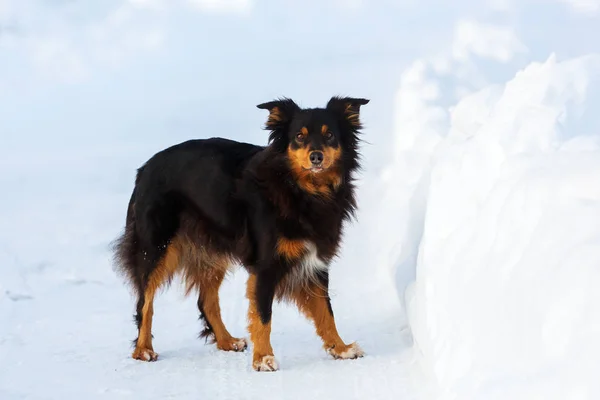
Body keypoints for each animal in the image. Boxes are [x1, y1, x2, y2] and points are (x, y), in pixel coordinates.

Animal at [110, 95, 368, 370]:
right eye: (299, 136)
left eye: (330, 135)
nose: (316, 156)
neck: (301, 188)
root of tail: (145, 169)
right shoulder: (266, 265)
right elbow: (263, 315)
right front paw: (263, 359)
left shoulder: (315, 262)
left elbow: (326, 311)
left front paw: (341, 349)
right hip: (155, 248)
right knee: (145, 303)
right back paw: (143, 349)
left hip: (210, 251)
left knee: (206, 301)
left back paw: (227, 341)